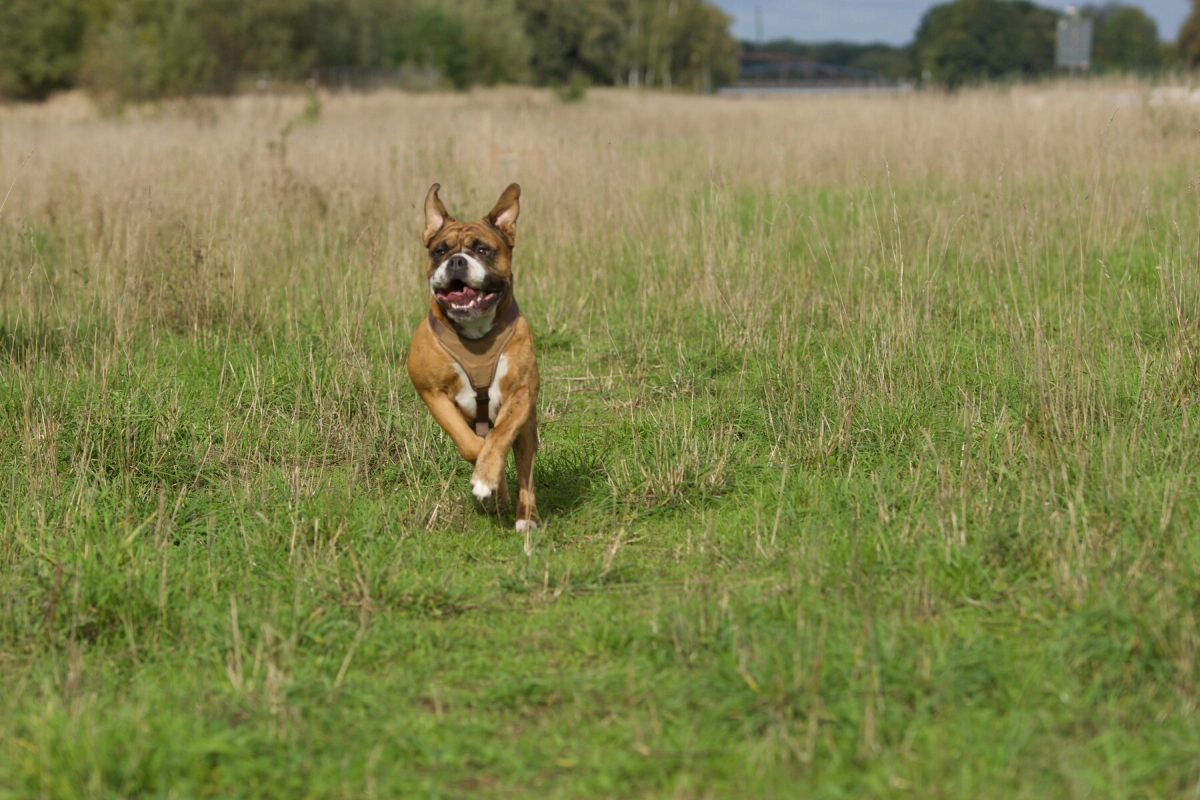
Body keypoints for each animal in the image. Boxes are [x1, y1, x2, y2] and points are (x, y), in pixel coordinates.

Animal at [408, 182, 540, 532]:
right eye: (439, 250)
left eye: (482, 250)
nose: (455, 261)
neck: (476, 334)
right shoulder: (432, 393)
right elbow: (469, 443)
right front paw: (489, 482)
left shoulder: (521, 393)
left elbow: (500, 437)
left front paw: (486, 477)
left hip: (528, 430)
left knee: (526, 473)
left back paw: (526, 517)